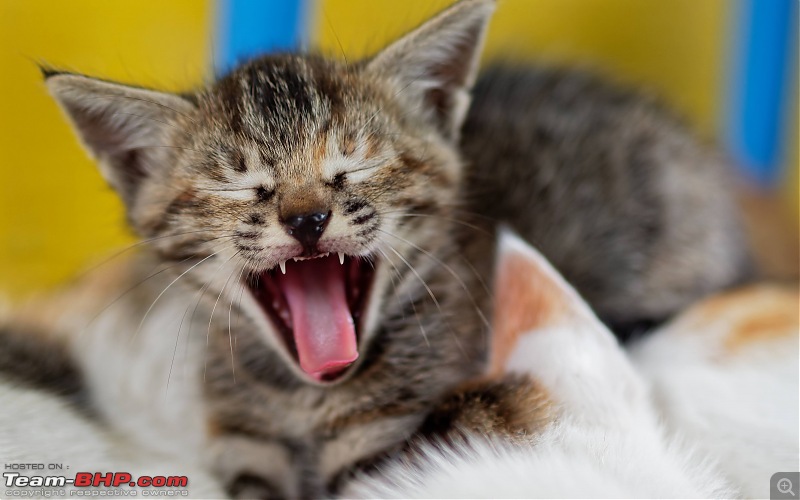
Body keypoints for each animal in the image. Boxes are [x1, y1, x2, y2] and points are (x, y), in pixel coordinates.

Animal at [0, 0, 752, 494]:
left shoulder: (392, 451)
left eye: (351, 168)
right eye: (242, 184)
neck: (300, 401)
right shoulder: (250, 455)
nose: (307, 218)